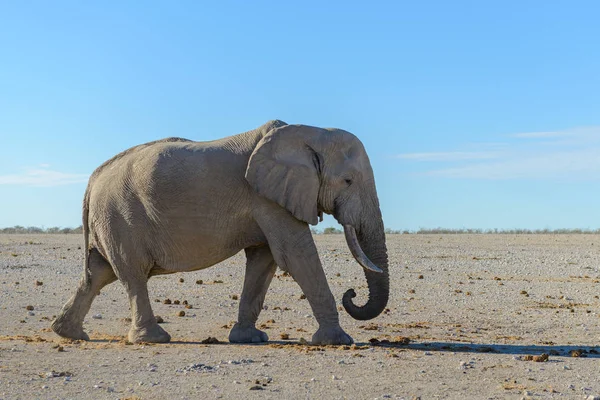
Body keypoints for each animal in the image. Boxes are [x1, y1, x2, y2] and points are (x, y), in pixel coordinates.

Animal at [51, 120, 390, 346]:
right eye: (348, 181)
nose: (352, 293)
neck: (309, 131)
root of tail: (93, 178)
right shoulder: (266, 197)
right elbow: (295, 254)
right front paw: (338, 341)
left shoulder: (267, 198)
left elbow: (264, 260)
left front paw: (249, 338)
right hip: (121, 216)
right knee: (132, 274)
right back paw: (153, 339)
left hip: (111, 221)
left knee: (98, 273)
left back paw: (69, 333)